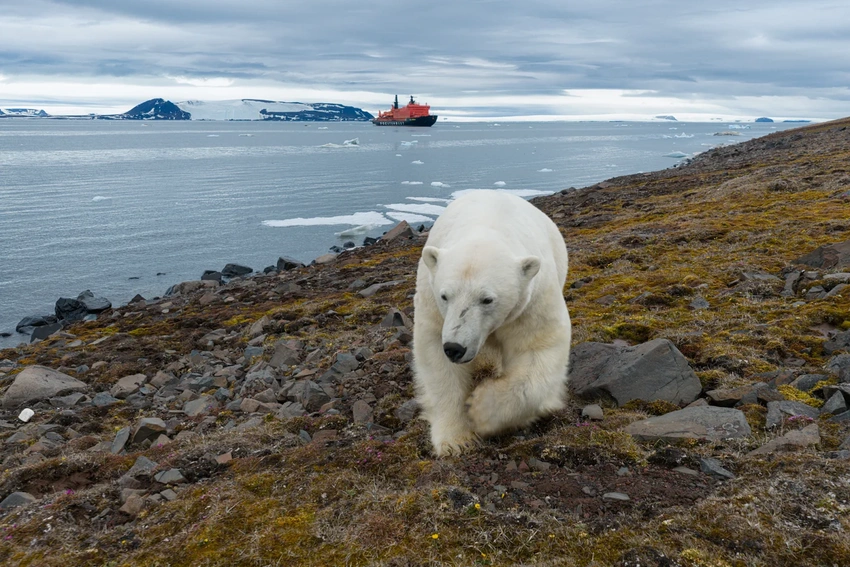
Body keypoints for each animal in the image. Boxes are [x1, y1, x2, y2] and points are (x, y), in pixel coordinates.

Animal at [412, 190, 572, 456]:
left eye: (487, 299)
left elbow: (537, 349)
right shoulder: (432, 302)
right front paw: (456, 440)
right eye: (445, 296)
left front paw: (480, 409)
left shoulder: (531, 302)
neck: (487, 224)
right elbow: (436, 358)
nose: (455, 348)